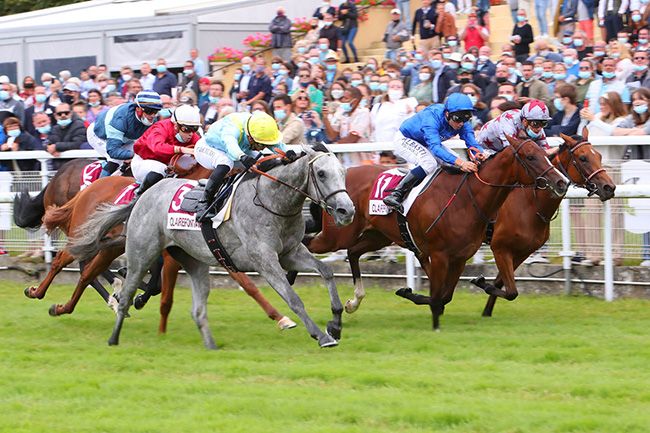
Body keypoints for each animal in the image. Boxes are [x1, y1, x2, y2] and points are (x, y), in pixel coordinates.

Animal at [37, 162, 296, 332]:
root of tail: (88, 189)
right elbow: (249, 285)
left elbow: (156, 284)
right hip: (86, 236)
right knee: (65, 262)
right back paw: (38, 292)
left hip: (109, 246)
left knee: (88, 273)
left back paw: (69, 306)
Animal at [68, 145, 355, 349]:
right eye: (321, 174)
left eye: (343, 173)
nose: (346, 210)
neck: (271, 201)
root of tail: (143, 194)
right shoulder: (265, 260)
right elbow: (293, 299)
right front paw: (321, 335)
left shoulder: (290, 253)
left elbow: (326, 272)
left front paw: (335, 323)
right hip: (142, 251)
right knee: (124, 289)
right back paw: (113, 335)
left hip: (190, 259)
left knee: (194, 306)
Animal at [302, 135, 569, 330]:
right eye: (530, 156)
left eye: (547, 155)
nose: (561, 182)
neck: (466, 200)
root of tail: (340, 173)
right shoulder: (444, 254)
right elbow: (439, 295)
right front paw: (427, 312)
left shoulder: (461, 257)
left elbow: (445, 295)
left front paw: (414, 294)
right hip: (336, 234)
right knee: (307, 243)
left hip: (377, 235)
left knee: (353, 252)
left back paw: (353, 302)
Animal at [474, 132, 616, 317]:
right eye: (583, 158)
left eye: (599, 155)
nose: (609, 187)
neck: (530, 205)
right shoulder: (500, 247)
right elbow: (511, 291)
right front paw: (479, 282)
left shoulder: (523, 251)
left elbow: (502, 284)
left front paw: (486, 311)